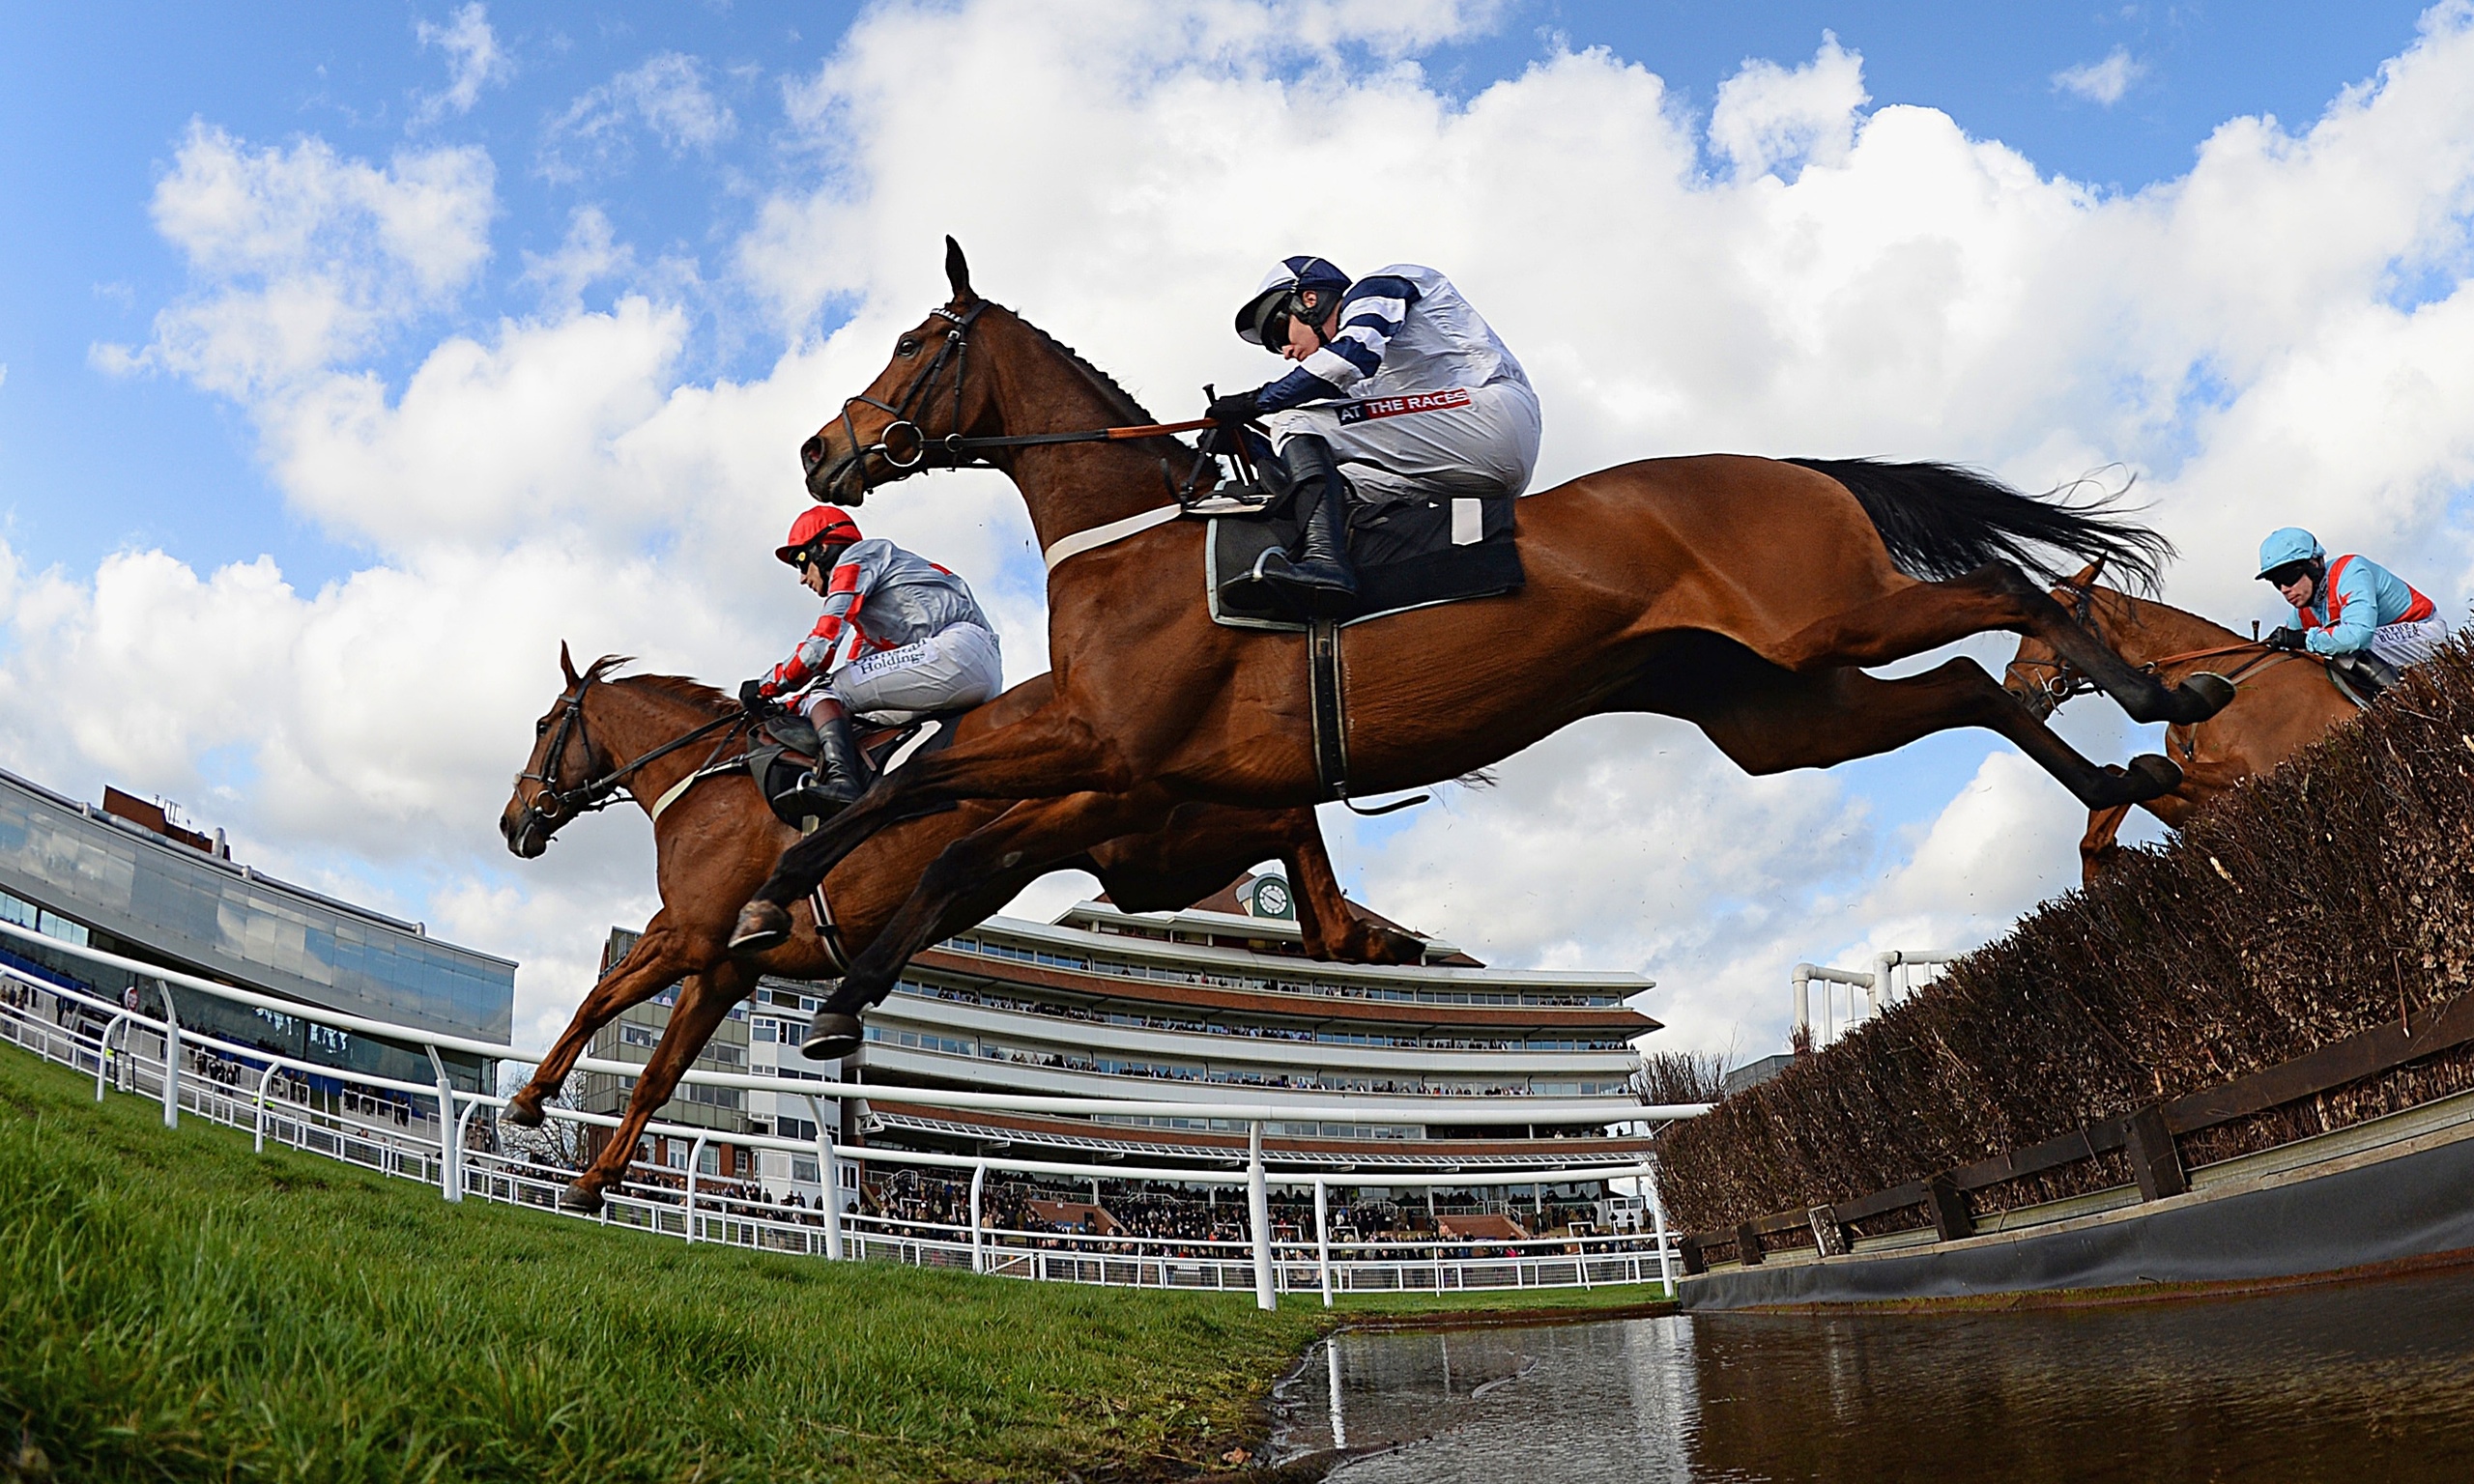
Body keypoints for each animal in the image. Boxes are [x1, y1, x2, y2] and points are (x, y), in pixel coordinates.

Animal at [497, 642, 1415, 1212]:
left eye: (544, 725)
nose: (514, 823)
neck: (705, 782)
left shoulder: (693, 940)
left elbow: (606, 1013)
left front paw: (539, 1110)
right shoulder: (726, 965)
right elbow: (649, 1060)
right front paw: (585, 1166)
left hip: (1145, 853)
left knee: (1287, 814)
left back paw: (1361, 935)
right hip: (1142, 858)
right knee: (1279, 817)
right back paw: (1366, 938)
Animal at [722, 241, 2236, 1053]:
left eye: (914, 341)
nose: (816, 450)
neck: (1137, 538)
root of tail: (1788, 465)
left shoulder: (1106, 744)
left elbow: (933, 786)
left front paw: (789, 876)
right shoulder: (1128, 782)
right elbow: (954, 842)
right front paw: (833, 975)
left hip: (1826, 616)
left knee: (2005, 594)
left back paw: (2161, 693)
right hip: (1774, 714)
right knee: (1971, 681)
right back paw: (2125, 778)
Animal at [1989, 561, 2355, 875]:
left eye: (2047, 619)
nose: (2013, 692)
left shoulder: (2258, 770)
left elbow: (2136, 770)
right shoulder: (2195, 807)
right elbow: (2126, 783)